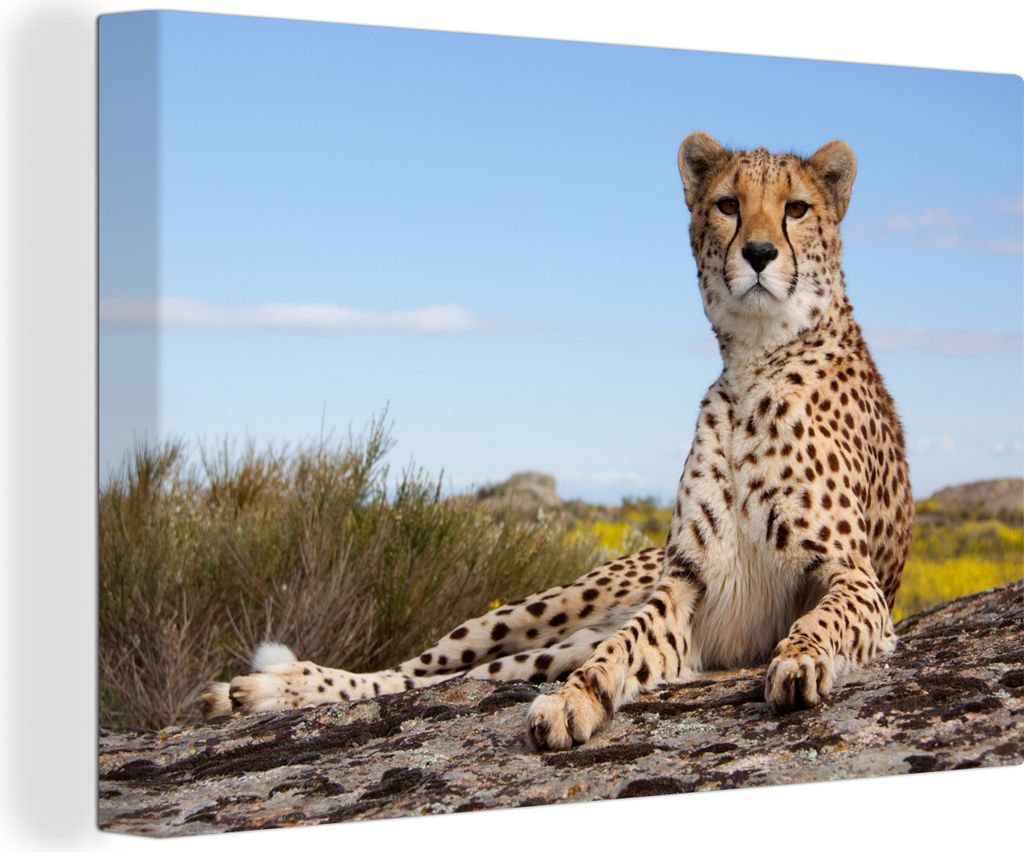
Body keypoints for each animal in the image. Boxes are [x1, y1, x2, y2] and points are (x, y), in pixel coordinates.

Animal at [202, 132, 915, 752]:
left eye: (796, 208)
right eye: (728, 205)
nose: (760, 254)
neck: (755, 362)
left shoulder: (853, 579)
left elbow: (819, 620)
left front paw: (800, 660)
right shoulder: (685, 588)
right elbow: (620, 651)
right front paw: (577, 699)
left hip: (546, 644)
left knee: (461, 677)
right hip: (547, 608)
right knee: (418, 672)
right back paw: (270, 688)